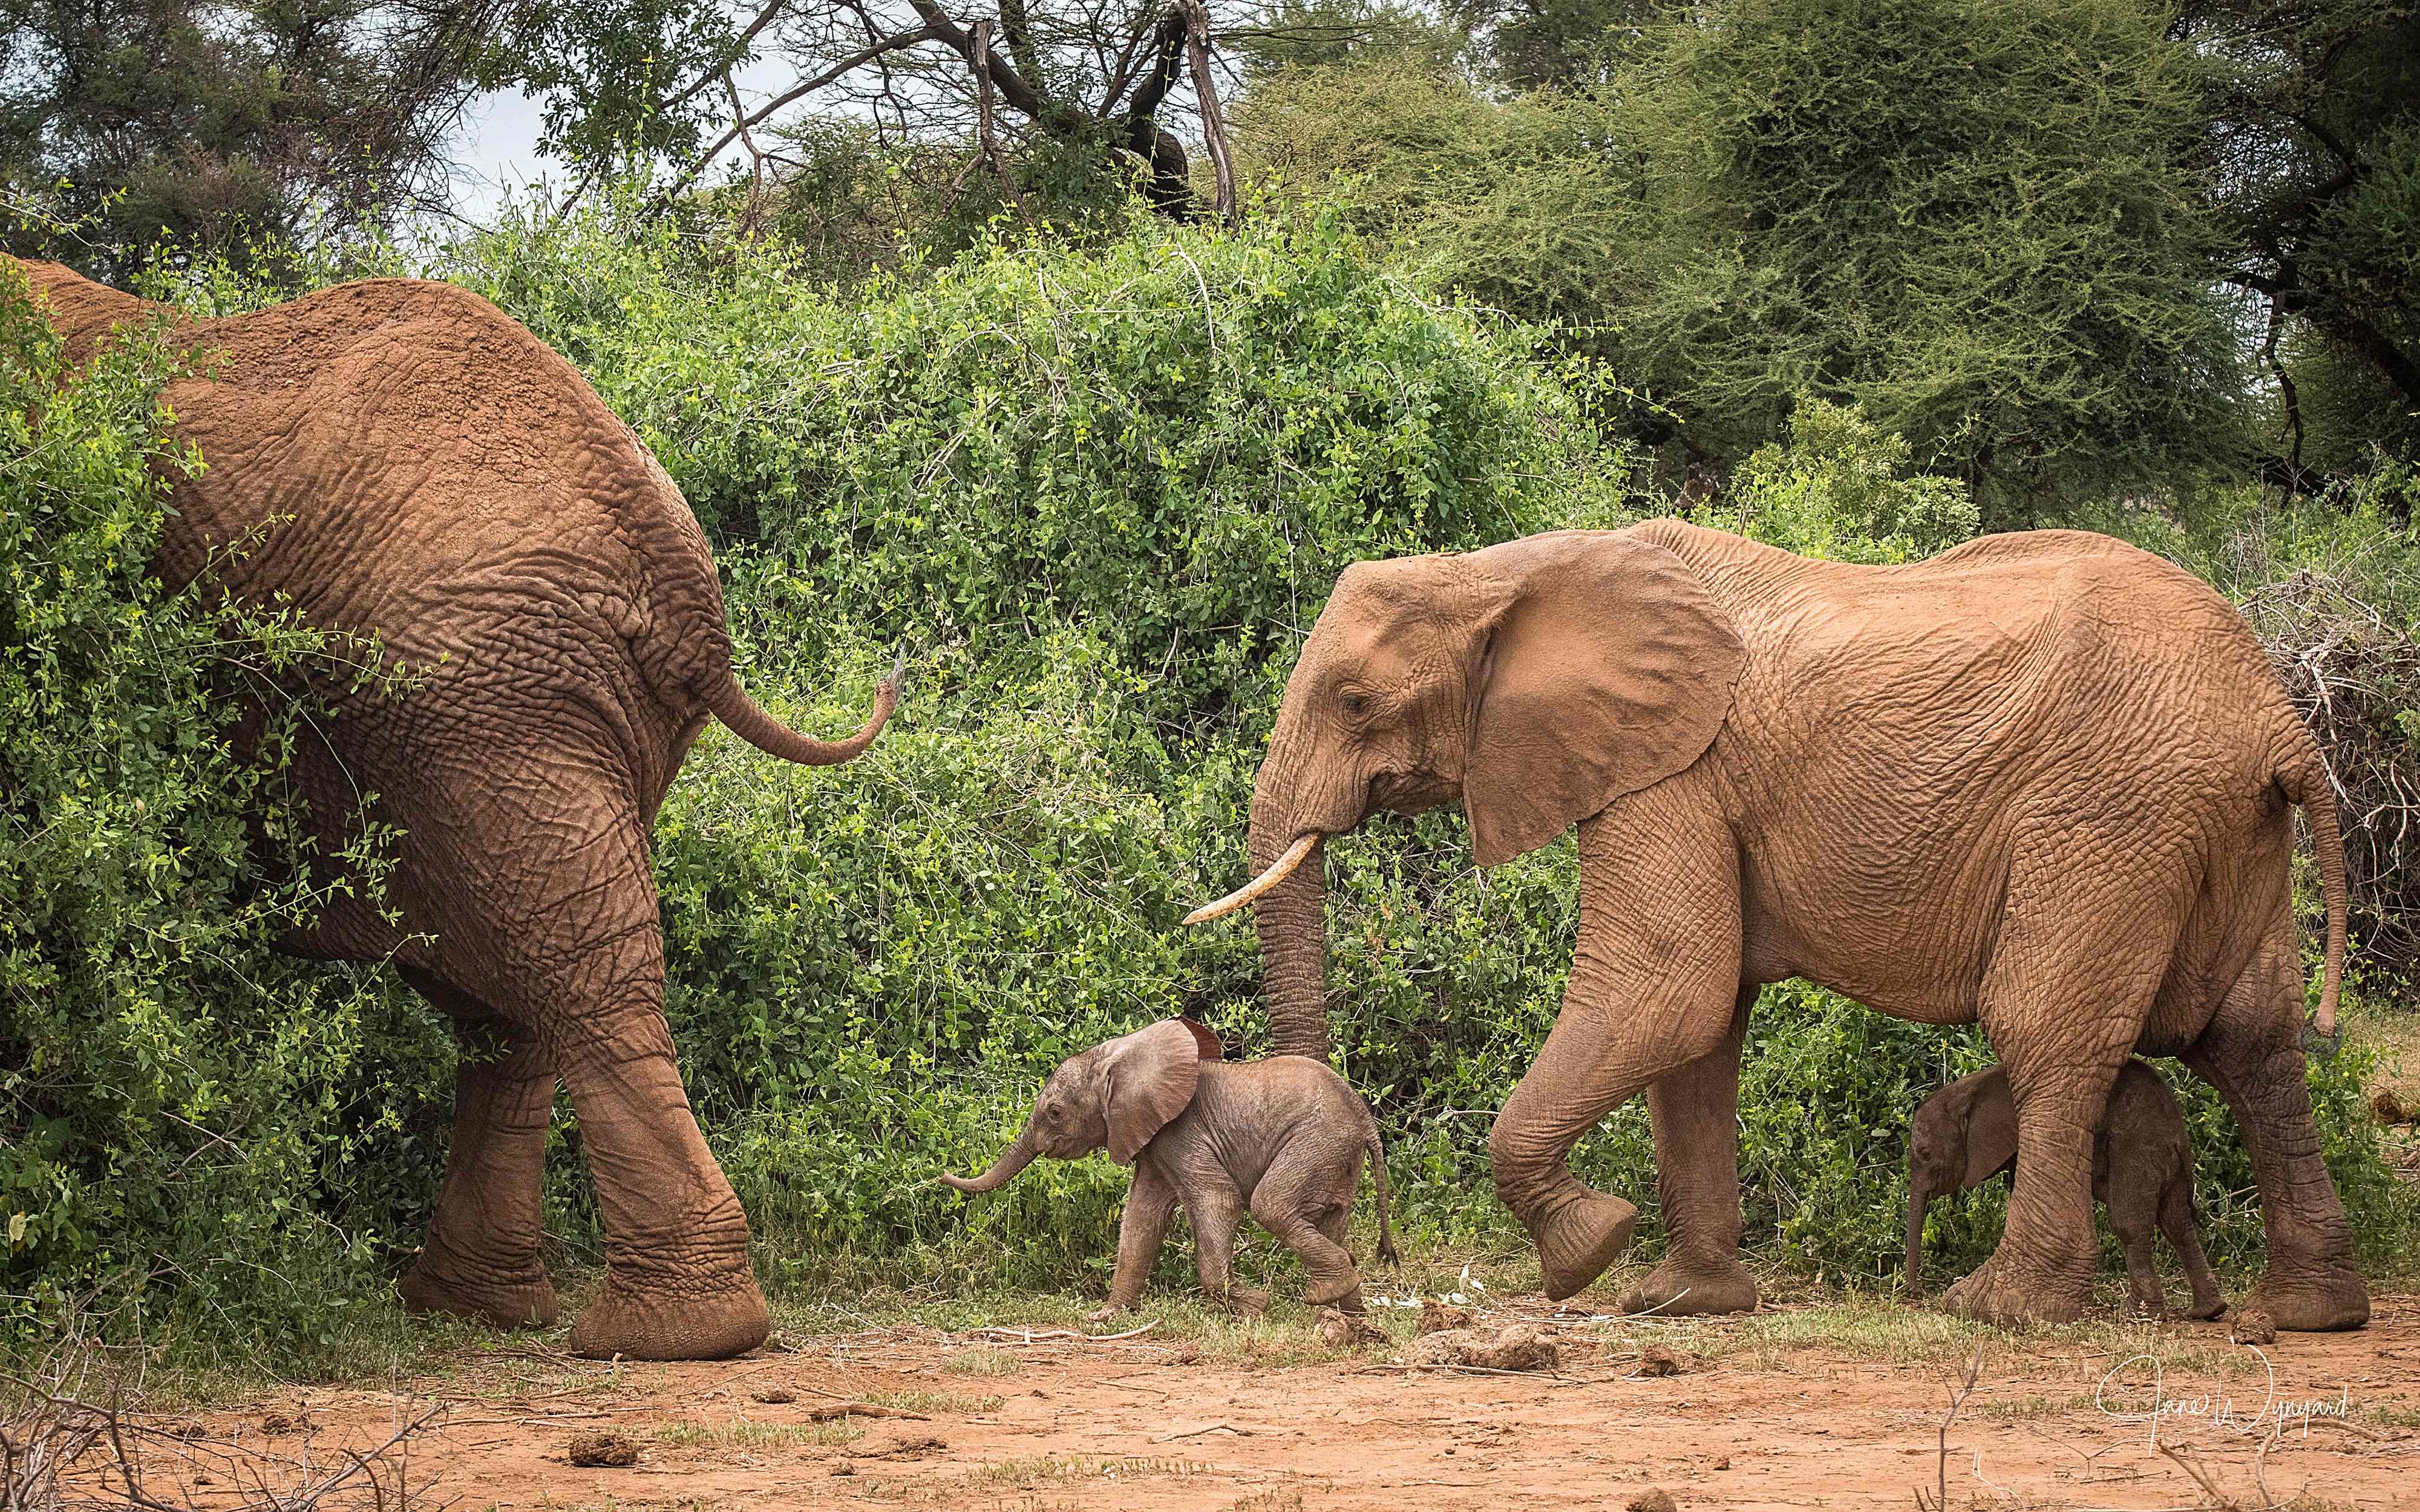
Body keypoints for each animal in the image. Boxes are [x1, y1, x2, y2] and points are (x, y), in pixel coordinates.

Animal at [14, 256, 905, 1355]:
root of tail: (680, 590)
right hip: (537, 718)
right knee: (520, 993)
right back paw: (482, 1308)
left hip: (480, 703)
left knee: (571, 973)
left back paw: (664, 1333)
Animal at [944, 1016, 1404, 1316]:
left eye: (1055, 1113)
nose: (941, 1177)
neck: (1121, 1057)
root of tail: (1365, 1118)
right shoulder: (1152, 1140)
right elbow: (1141, 1218)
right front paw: (1106, 1319)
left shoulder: (1181, 1132)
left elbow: (1218, 1200)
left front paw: (1257, 1306)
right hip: (1336, 1156)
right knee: (1332, 1219)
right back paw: (1351, 1313)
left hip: (1317, 1141)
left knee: (1271, 1205)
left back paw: (1326, 1296)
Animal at [1907, 1055, 2226, 1316]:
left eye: (1925, 1153)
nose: (1917, 1294)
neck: (1966, 1090)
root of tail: (2178, 1135)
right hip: (2166, 1159)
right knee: (2178, 1222)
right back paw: (2208, 1311)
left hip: (2137, 1150)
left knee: (2130, 1224)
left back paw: (2138, 1315)